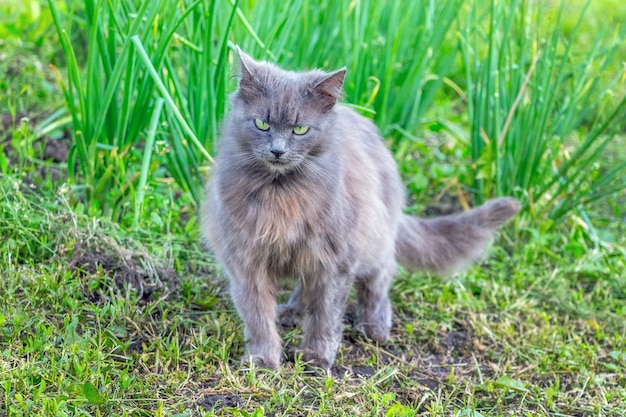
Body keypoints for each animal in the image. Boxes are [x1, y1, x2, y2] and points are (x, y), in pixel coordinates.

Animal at [202, 47, 520, 368]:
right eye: (262, 124)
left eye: (300, 129)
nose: (277, 151)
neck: (281, 193)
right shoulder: (246, 260)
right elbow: (257, 315)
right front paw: (262, 358)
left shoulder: (335, 258)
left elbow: (326, 314)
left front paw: (316, 356)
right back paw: (292, 313)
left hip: (373, 239)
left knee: (381, 275)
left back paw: (375, 326)